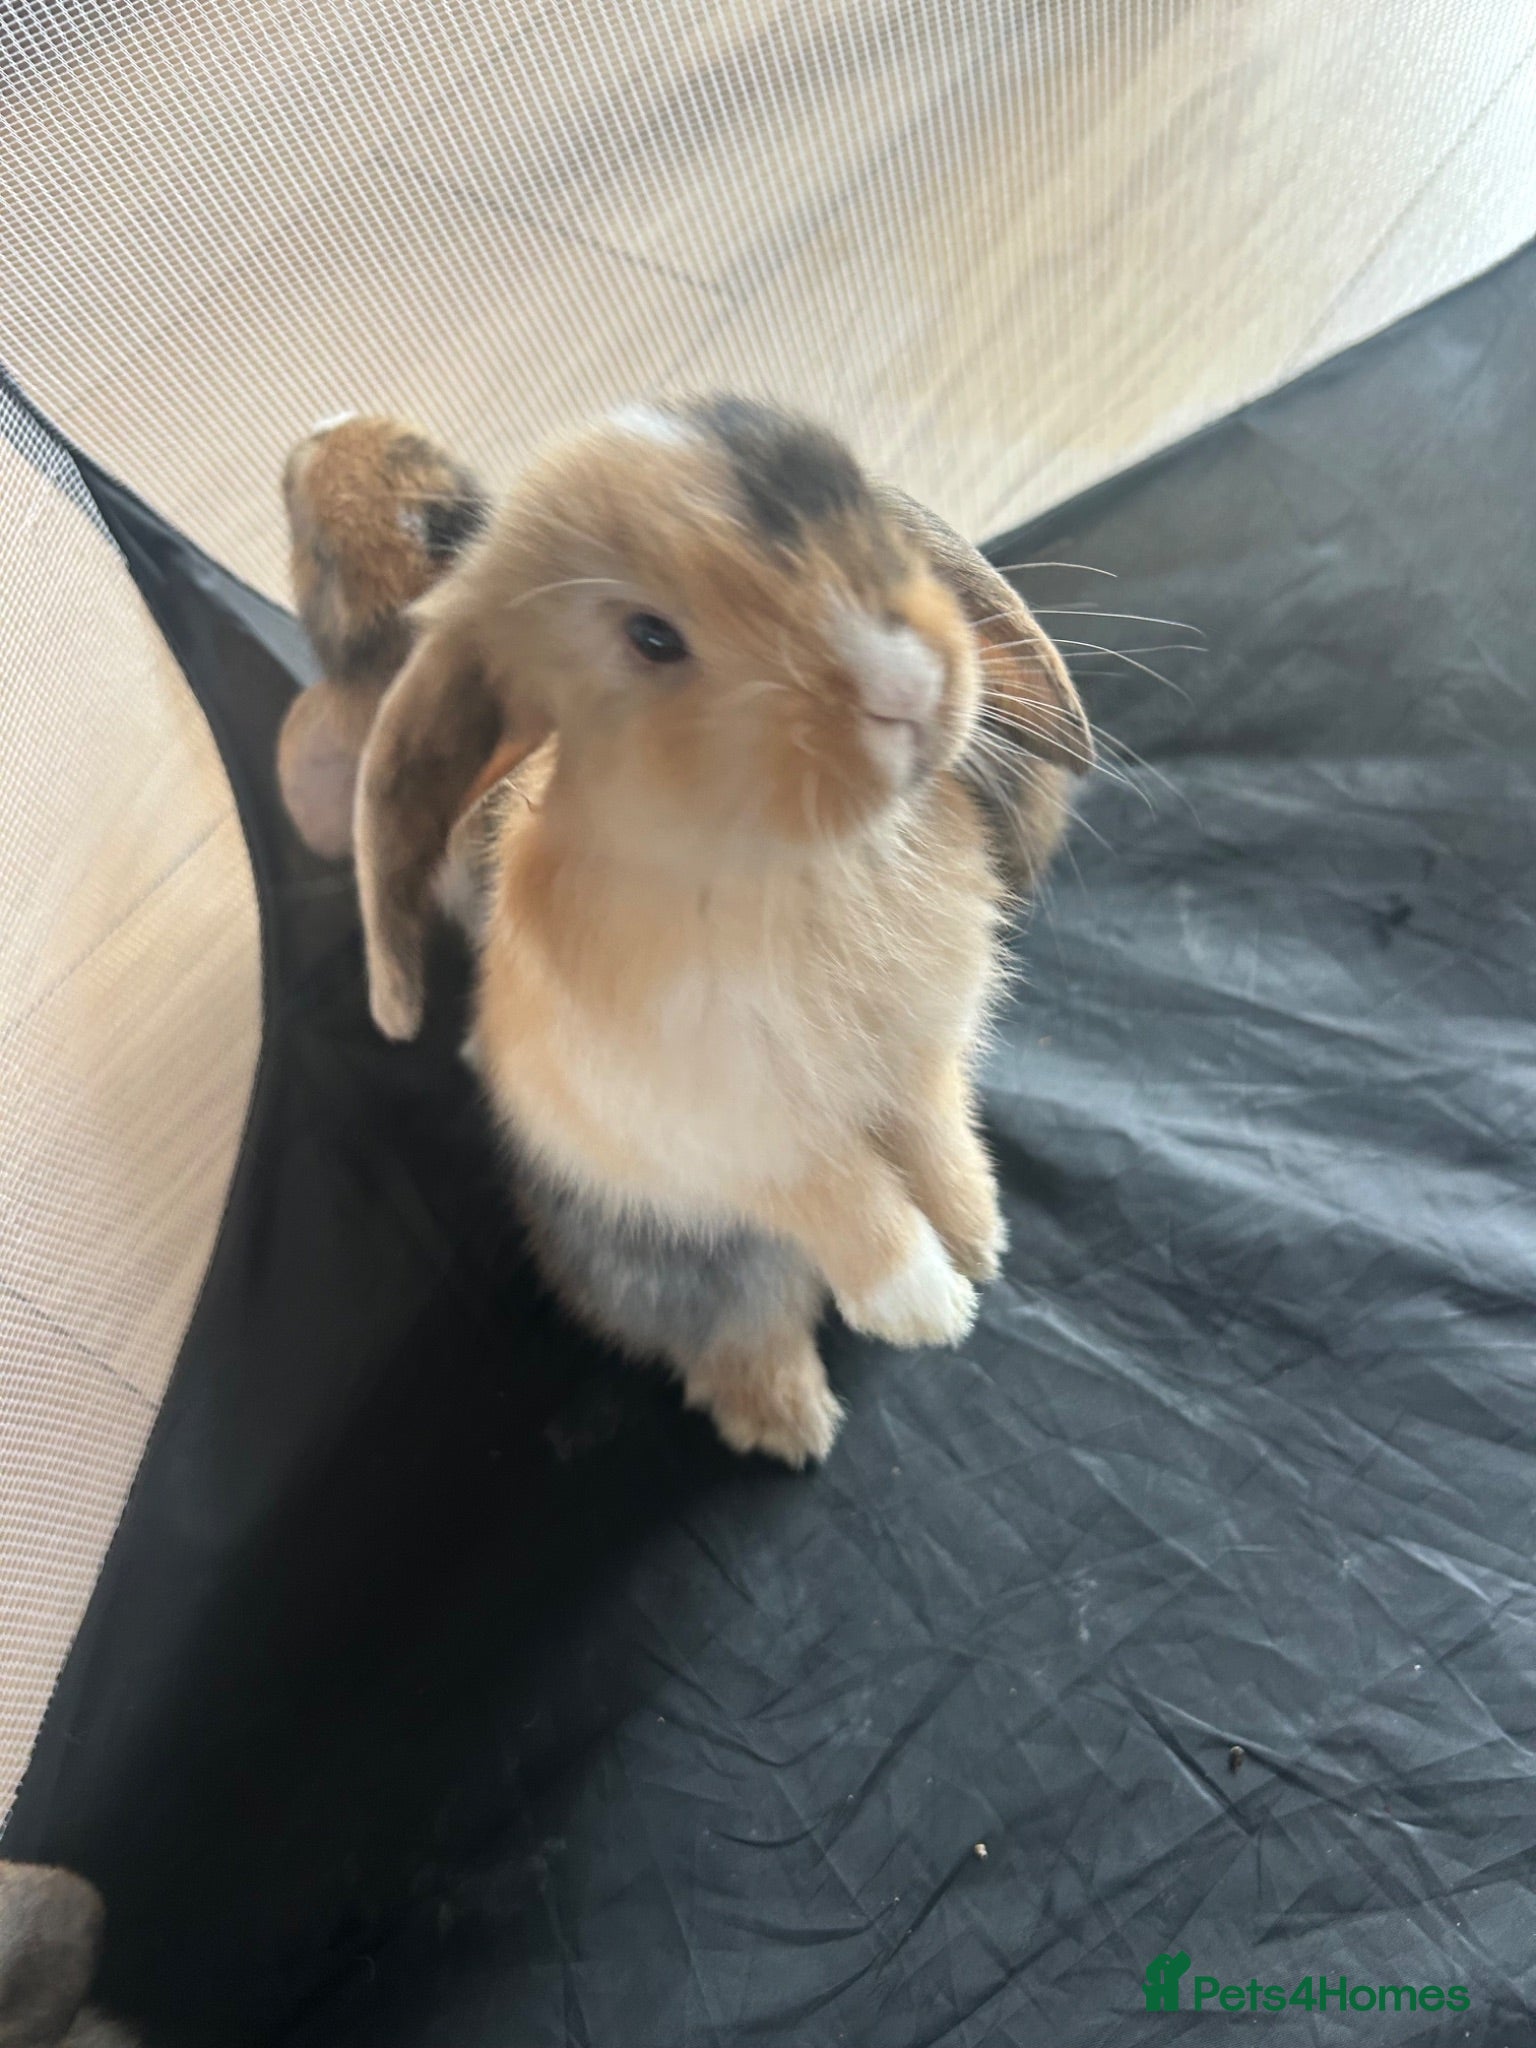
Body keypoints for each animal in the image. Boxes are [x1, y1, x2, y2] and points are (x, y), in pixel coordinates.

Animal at [306, 398, 1090, 1465]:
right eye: (651, 638)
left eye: (849, 493)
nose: (906, 683)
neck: (791, 860)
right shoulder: (740, 1133)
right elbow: (848, 1202)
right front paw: (929, 1309)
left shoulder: (919, 1063)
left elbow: (934, 1140)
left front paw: (979, 1240)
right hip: (686, 1264)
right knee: (737, 1335)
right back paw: (793, 1429)